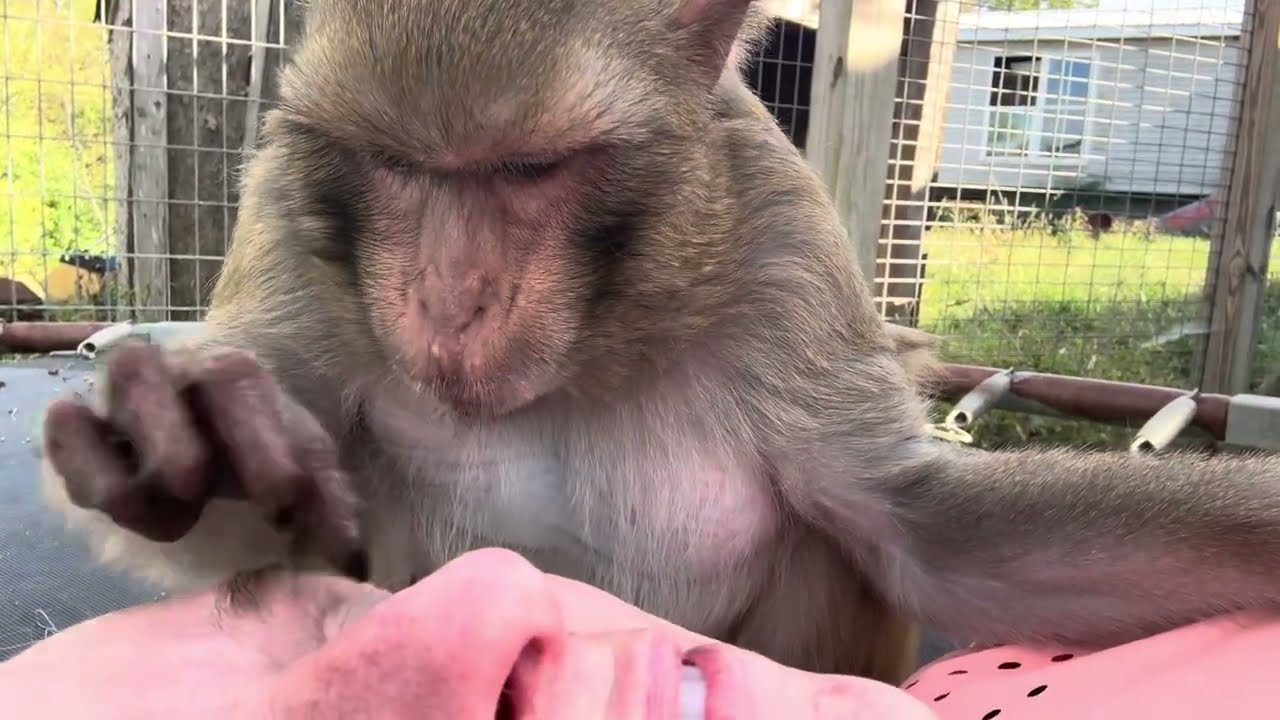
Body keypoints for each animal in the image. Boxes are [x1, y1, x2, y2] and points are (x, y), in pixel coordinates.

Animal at [37, 0, 1280, 687]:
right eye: (394, 166)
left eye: (530, 168)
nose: (449, 301)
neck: (600, 341)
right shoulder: (292, 225)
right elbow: (295, 553)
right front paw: (190, 449)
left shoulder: (782, 244)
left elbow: (922, 531)